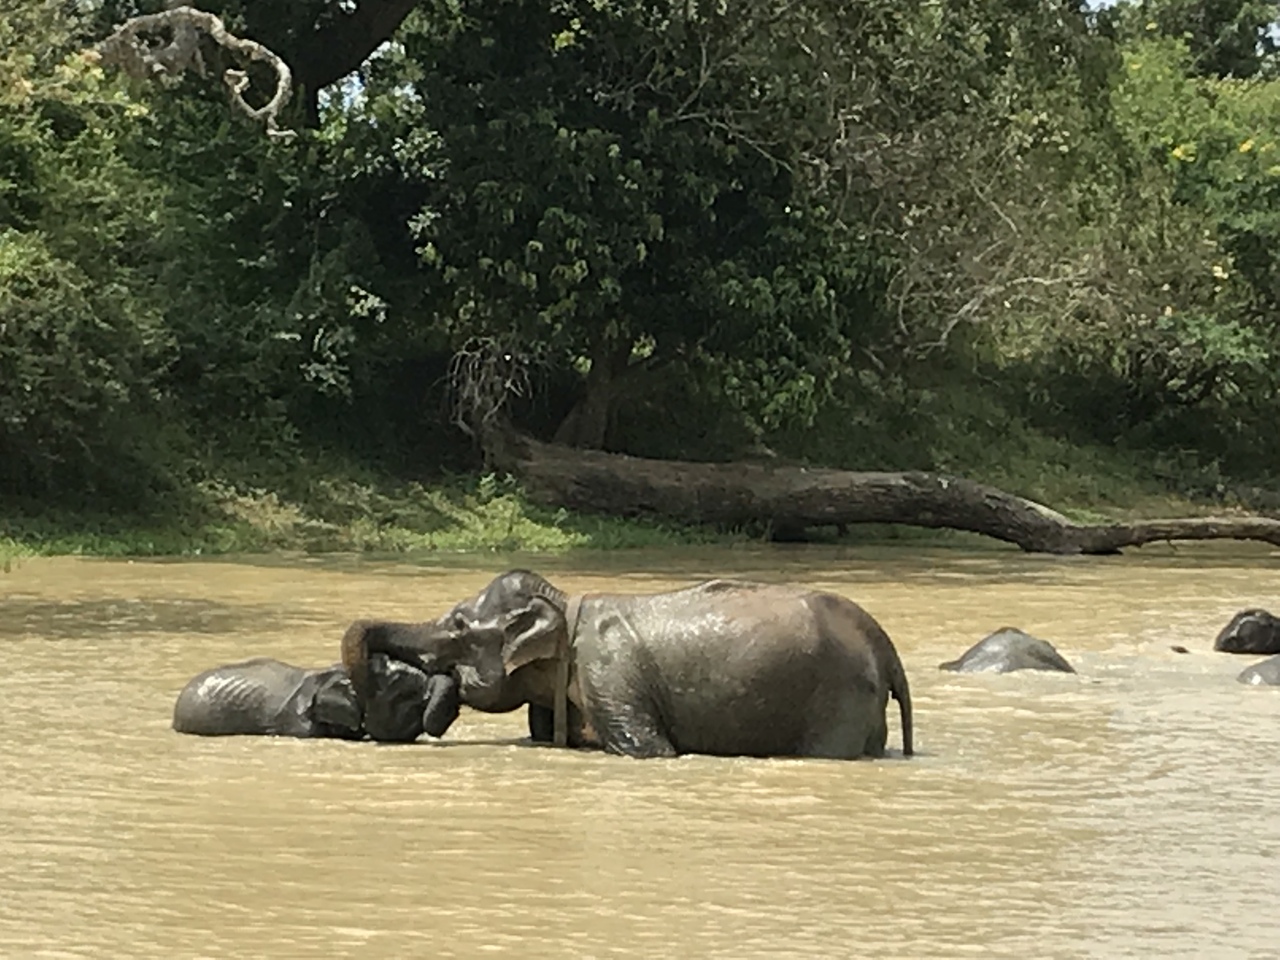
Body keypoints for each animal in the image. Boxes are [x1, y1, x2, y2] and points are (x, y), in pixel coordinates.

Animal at [339, 570, 913, 760]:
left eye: (458, 625)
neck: (563, 604)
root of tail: (885, 646)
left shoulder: (608, 672)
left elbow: (650, 751)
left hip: (839, 700)